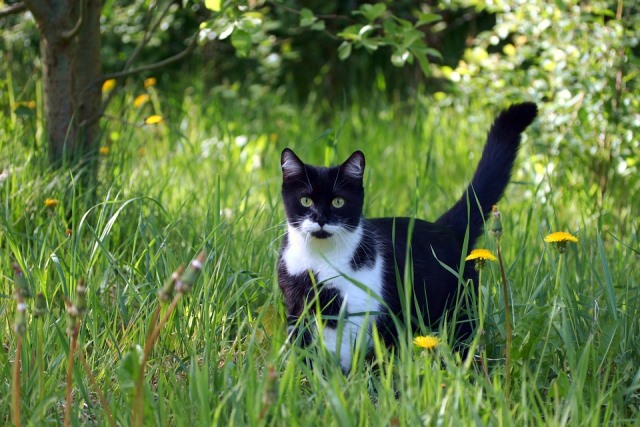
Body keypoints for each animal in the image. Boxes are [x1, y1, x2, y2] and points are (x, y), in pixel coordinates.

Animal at [278, 102, 536, 372]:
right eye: (306, 201)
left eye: (338, 201)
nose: (320, 218)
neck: (319, 260)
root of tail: (445, 229)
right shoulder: (295, 301)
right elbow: (302, 340)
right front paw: (307, 372)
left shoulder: (358, 305)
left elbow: (344, 348)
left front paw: (341, 377)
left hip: (461, 306)